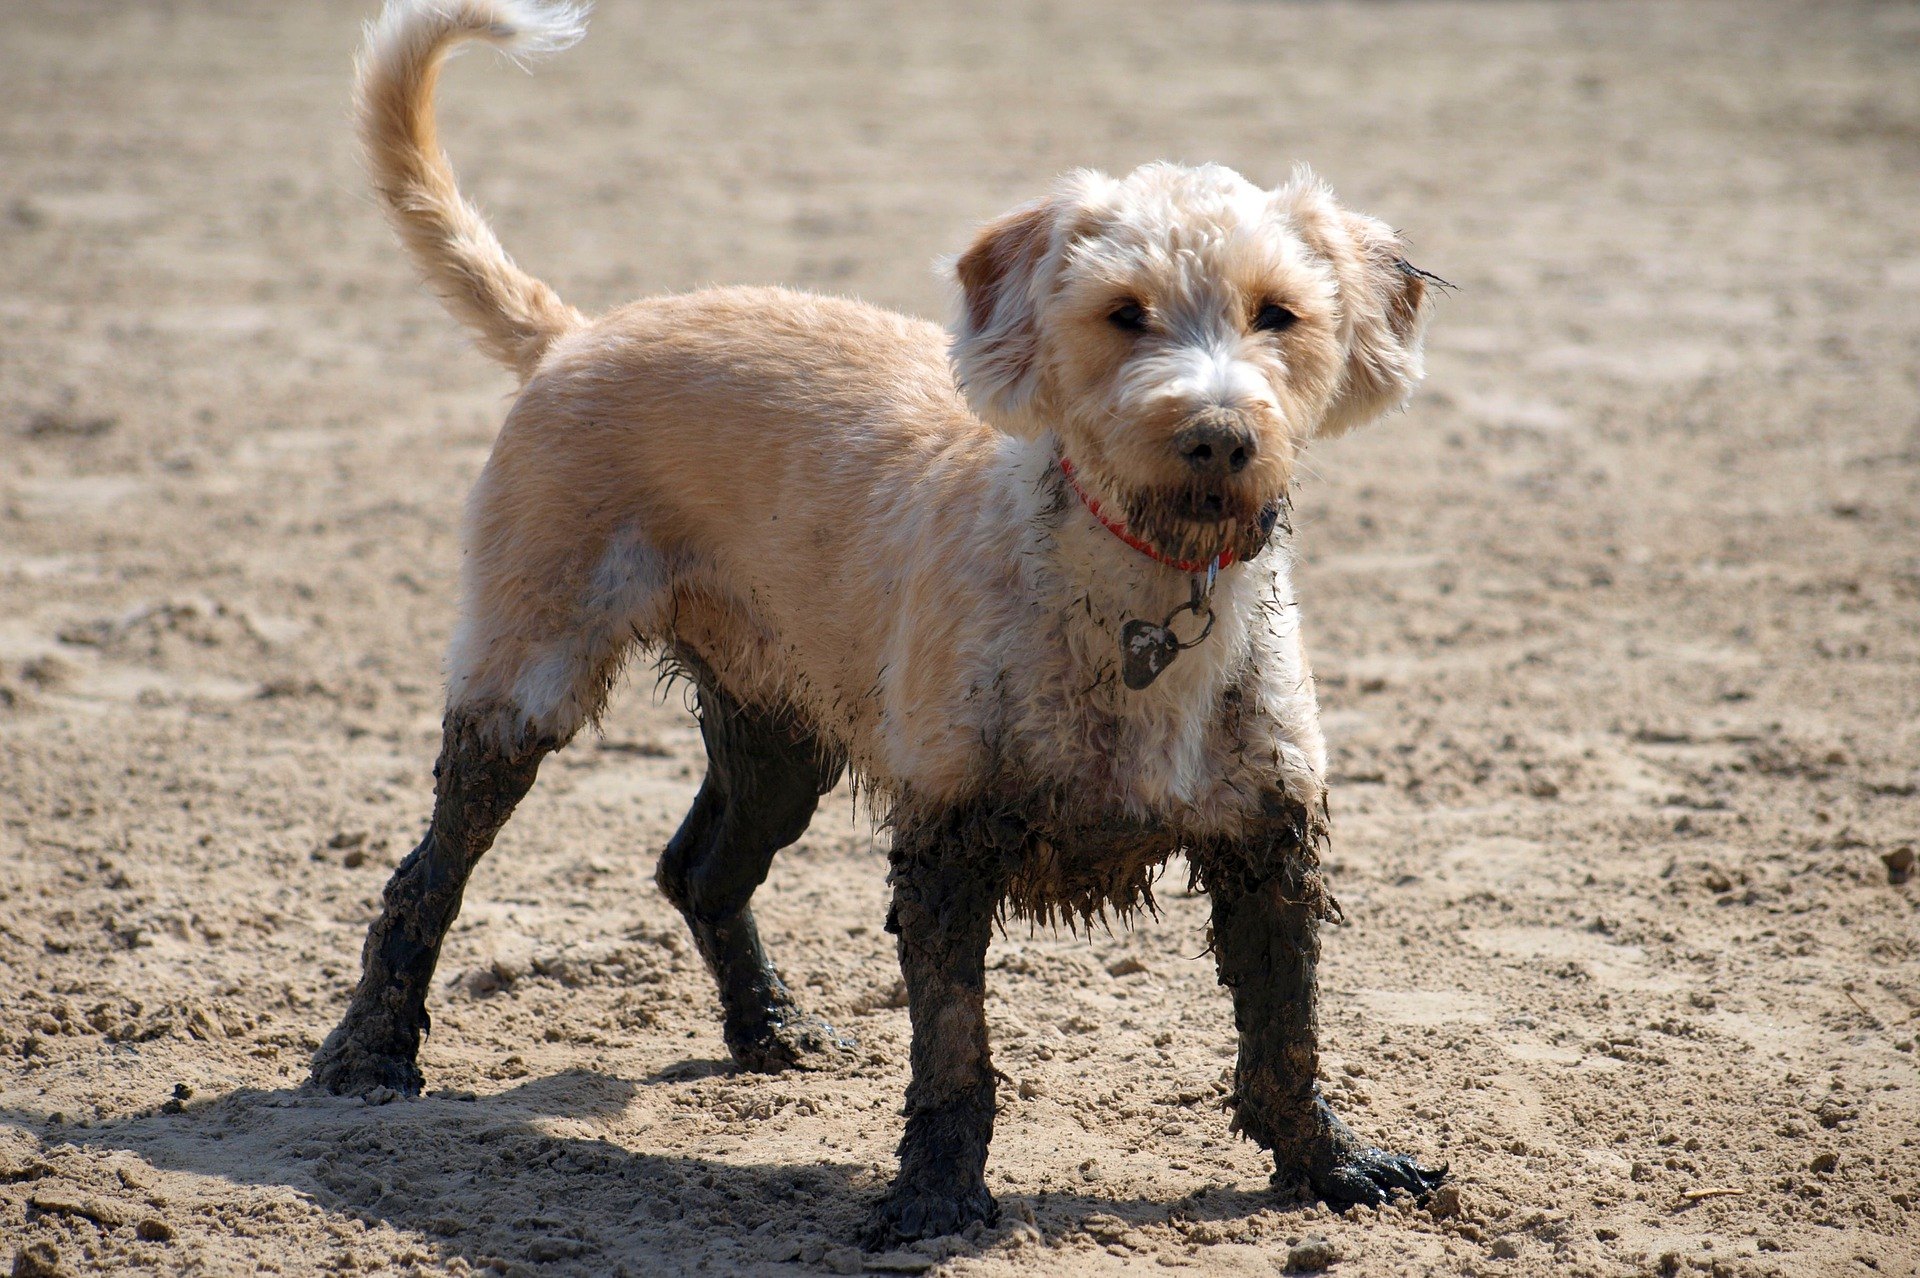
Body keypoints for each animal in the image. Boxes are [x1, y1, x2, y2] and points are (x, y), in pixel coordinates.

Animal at [314, 0, 1443, 1235]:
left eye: (1277, 313)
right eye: (1124, 313)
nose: (1217, 436)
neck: (1137, 597)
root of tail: (575, 334)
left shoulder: (1265, 843)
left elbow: (1286, 1037)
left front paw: (1333, 1166)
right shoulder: (946, 844)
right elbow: (955, 1054)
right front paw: (937, 1197)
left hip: (777, 729)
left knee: (699, 869)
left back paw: (769, 1027)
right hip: (525, 678)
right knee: (426, 875)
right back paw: (369, 1056)